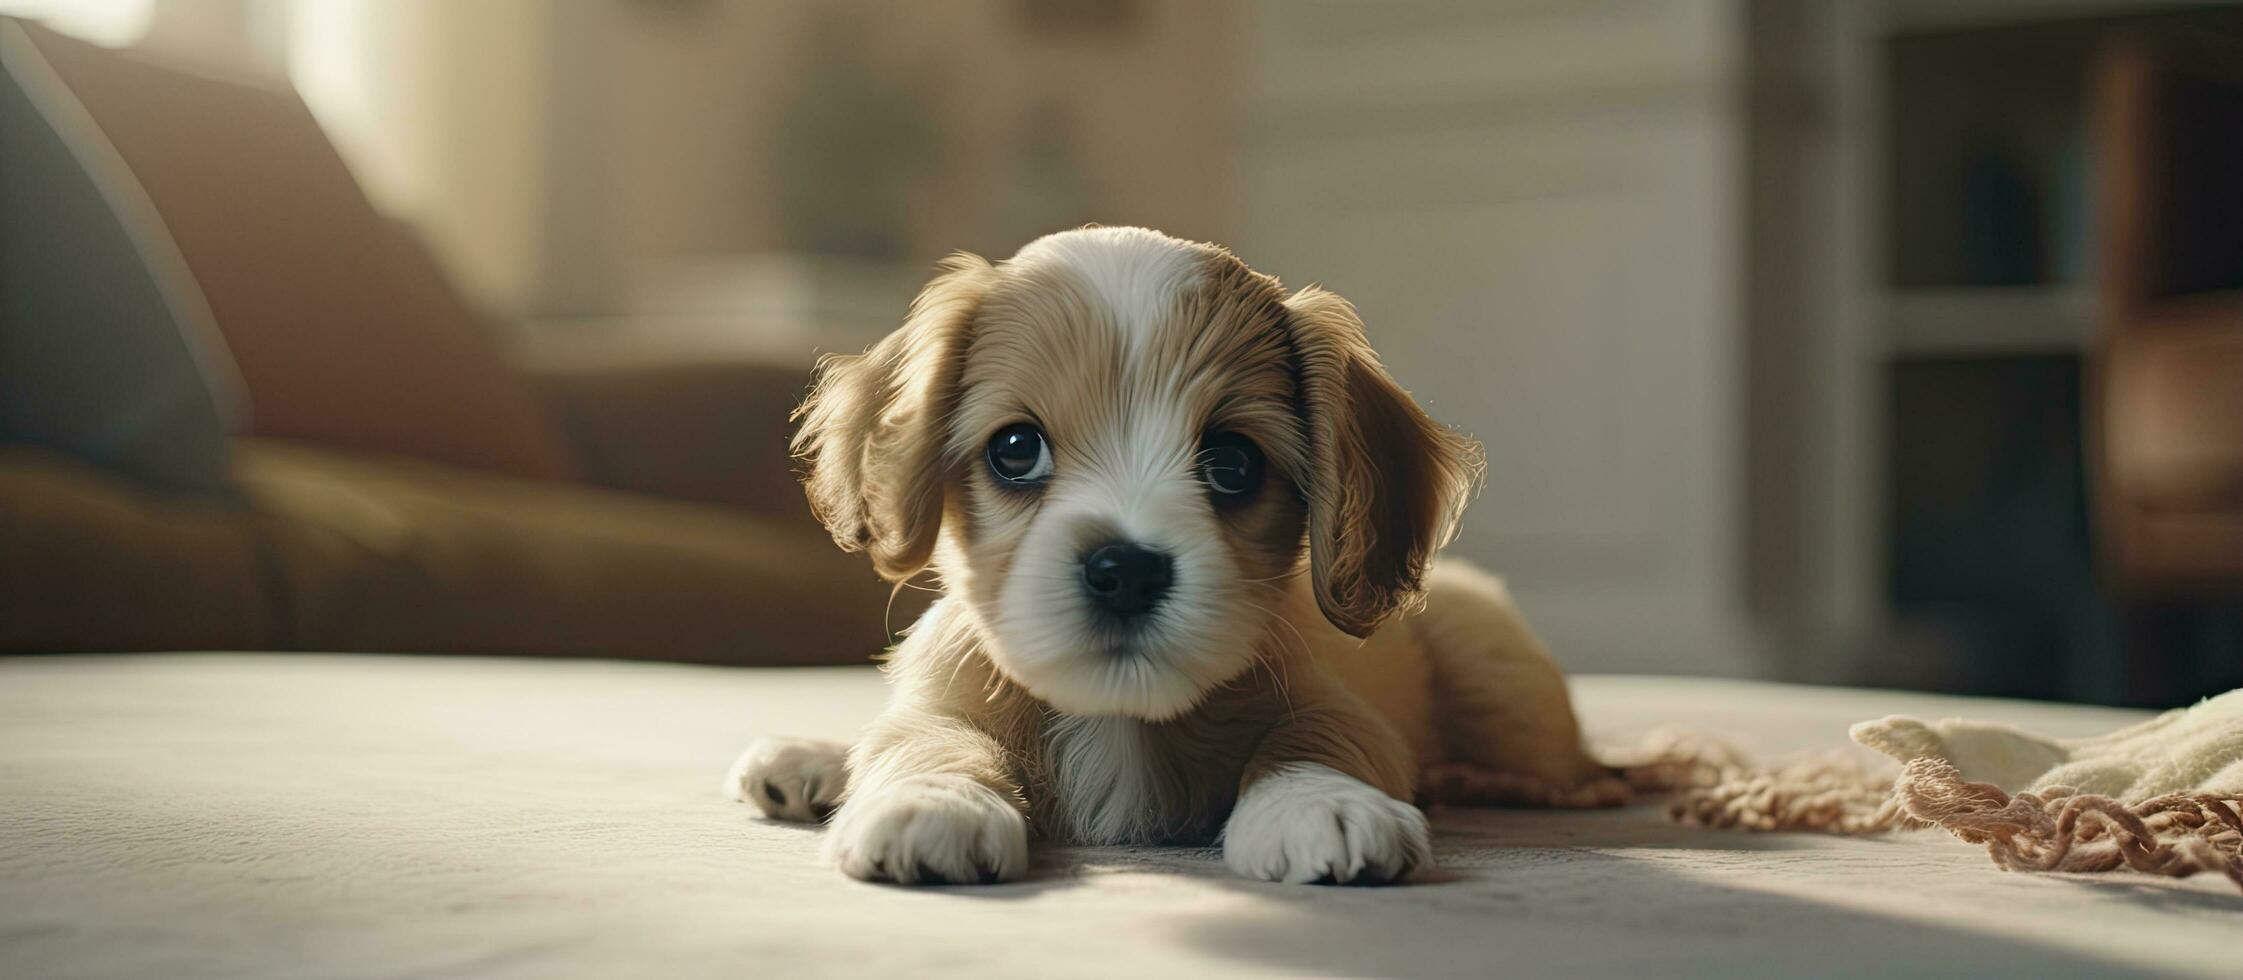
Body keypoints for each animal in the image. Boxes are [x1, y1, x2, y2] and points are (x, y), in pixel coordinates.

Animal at [726, 225, 1623, 883]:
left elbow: (1315, 739)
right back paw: (812, 763)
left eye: (1232, 463)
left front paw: (1319, 806)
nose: (1124, 570)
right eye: (1015, 449)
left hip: (1501, 682)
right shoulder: (942, 695)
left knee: (1577, 768)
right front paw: (934, 801)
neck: (1117, 717)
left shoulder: (1334, 701)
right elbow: (922, 737)